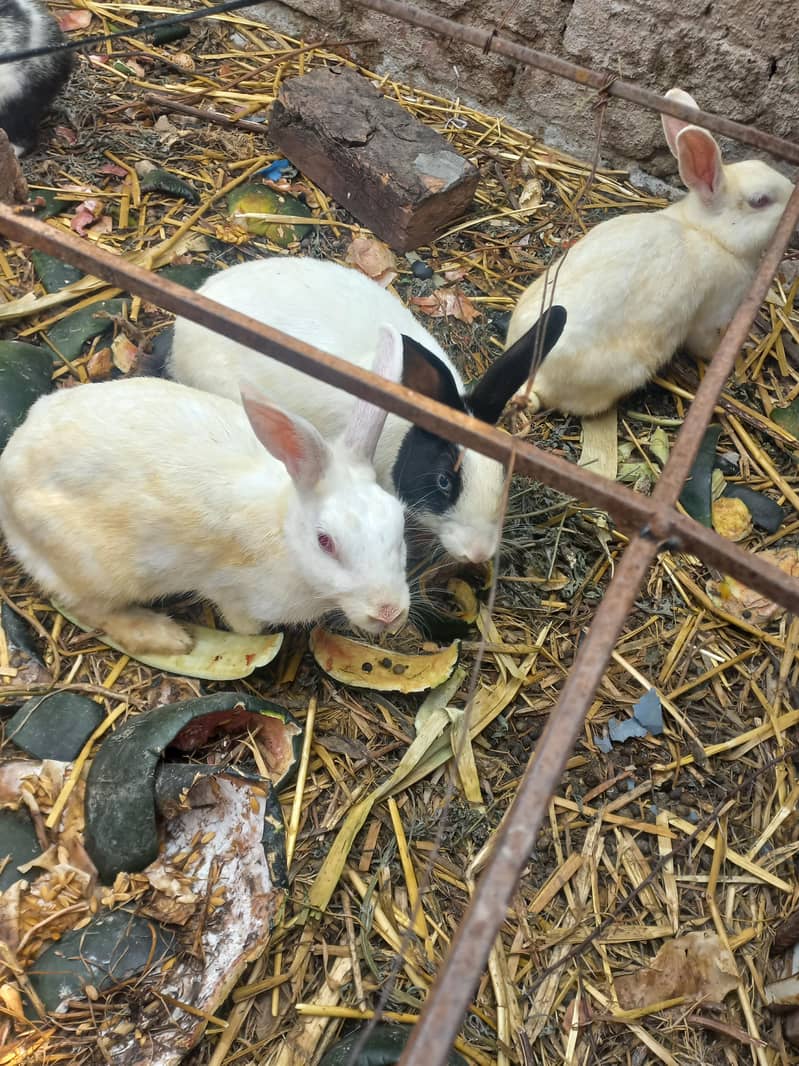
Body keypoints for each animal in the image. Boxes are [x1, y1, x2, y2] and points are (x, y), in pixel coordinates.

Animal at [0, 334, 411, 656]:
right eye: (325, 542)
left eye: (400, 529)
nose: (388, 613)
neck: (284, 530)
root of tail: (10, 472)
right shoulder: (230, 592)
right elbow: (243, 621)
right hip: (95, 568)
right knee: (88, 607)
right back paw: (168, 637)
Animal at [506, 87, 796, 418]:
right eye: (760, 201)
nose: (793, 192)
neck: (707, 233)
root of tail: (533, 379)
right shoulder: (713, 316)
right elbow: (707, 346)